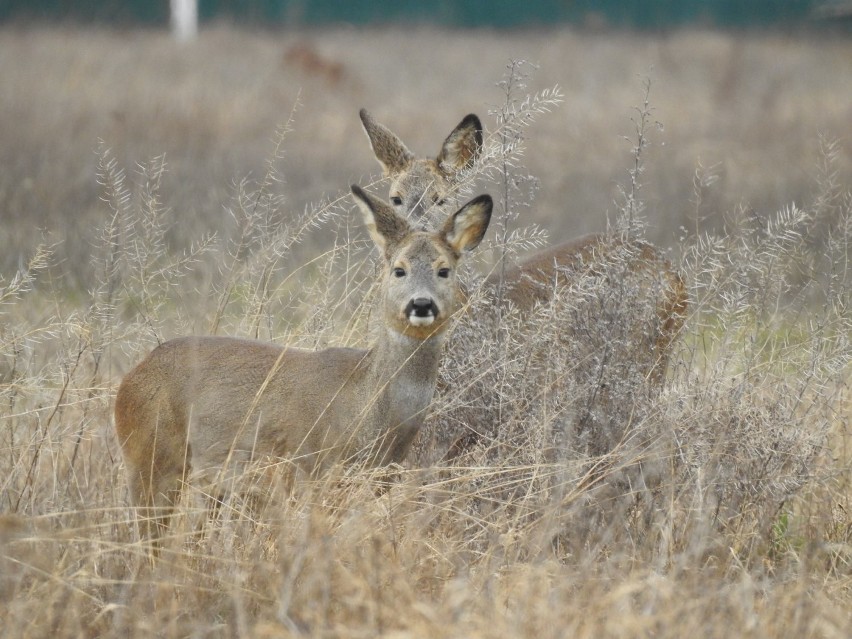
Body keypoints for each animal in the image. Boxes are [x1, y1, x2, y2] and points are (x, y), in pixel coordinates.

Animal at [116, 186, 496, 540]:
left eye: (444, 270)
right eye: (399, 270)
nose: (421, 304)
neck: (363, 404)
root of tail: (133, 374)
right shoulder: (308, 470)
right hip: (149, 457)